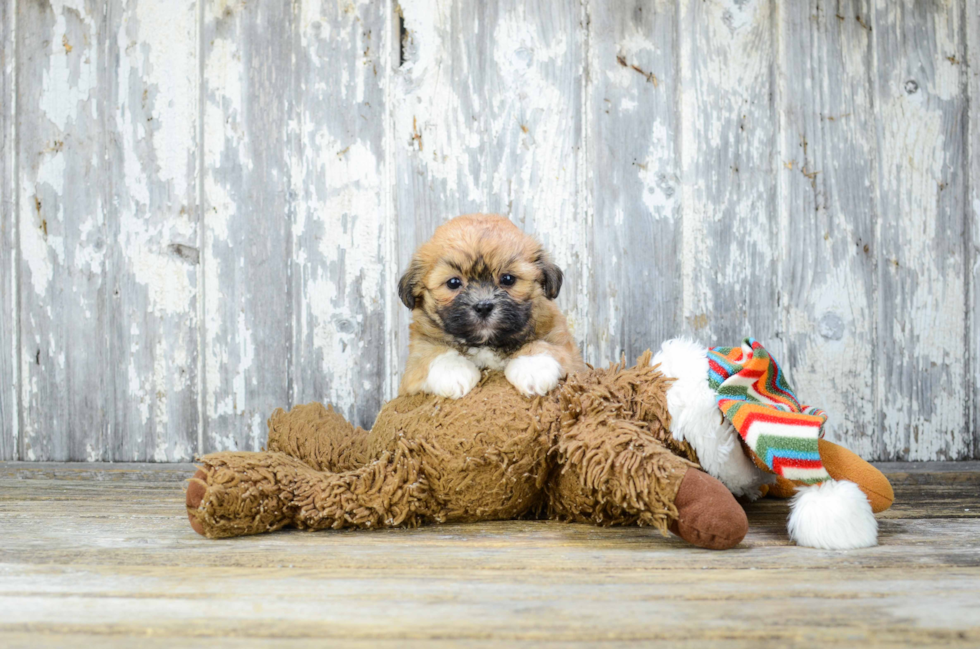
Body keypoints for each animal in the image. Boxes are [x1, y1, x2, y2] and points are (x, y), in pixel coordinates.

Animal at [396, 215, 580, 398]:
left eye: (508, 279)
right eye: (453, 282)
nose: (483, 306)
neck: (486, 343)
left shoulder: (568, 350)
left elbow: (545, 345)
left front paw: (532, 368)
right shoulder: (414, 361)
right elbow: (432, 352)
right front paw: (453, 372)